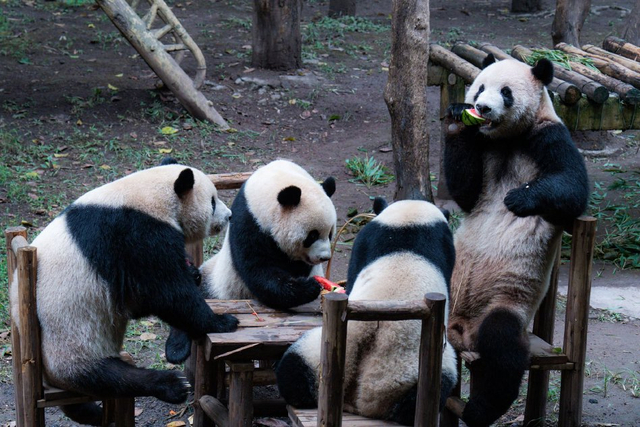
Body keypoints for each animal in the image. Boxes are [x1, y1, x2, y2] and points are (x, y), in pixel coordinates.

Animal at [10, 163, 238, 425]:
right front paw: (222, 321)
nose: (229, 215)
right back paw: (170, 385)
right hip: (69, 342)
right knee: (106, 376)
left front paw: (193, 273)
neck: (150, 196)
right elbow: (167, 293)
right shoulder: (135, 234)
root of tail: (46, 380)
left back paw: (93, 413)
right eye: (212, 201)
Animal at [165, 159, 337, 363]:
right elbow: (259, 271)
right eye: (312, 235)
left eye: (330, 233)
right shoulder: (248, 223)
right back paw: (176, 349)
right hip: (215, 283)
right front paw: (308, 287)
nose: (324, 257)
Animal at [444, 55, 590, 426]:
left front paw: (517, 199)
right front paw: (457, 118)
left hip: (506, 302)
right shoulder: (484, 146)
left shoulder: (548, 136)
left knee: (502, 349)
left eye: (505, 92)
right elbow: (465, 192)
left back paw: (479, 410)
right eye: (479, 87)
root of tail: (460, 332)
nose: (481, 107)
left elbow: (572, 186)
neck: (506, 138)